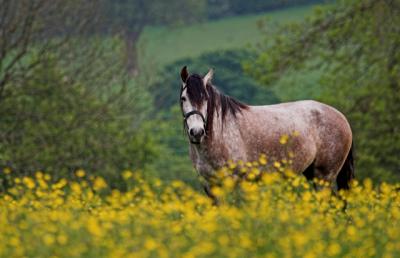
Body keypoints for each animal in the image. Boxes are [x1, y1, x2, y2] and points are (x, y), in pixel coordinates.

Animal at [180, 65, 354, 197]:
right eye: (183, 98)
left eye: (206, 98)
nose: (197, 132)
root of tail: (342, 117)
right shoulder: (209, 185)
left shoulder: (234, 181)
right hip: (311, 174)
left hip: (324, 176)